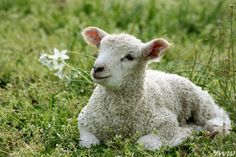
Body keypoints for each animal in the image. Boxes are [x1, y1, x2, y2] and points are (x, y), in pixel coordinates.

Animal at [77, 26, 230, 150]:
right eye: (100, 49)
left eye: (129, 57)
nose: (97, 68)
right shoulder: (84, 120)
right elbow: (89, 142)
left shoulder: (166, 122)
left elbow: (144, 143)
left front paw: (183, 134)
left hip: (198, 100)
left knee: (219, 115)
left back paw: (214, 129)